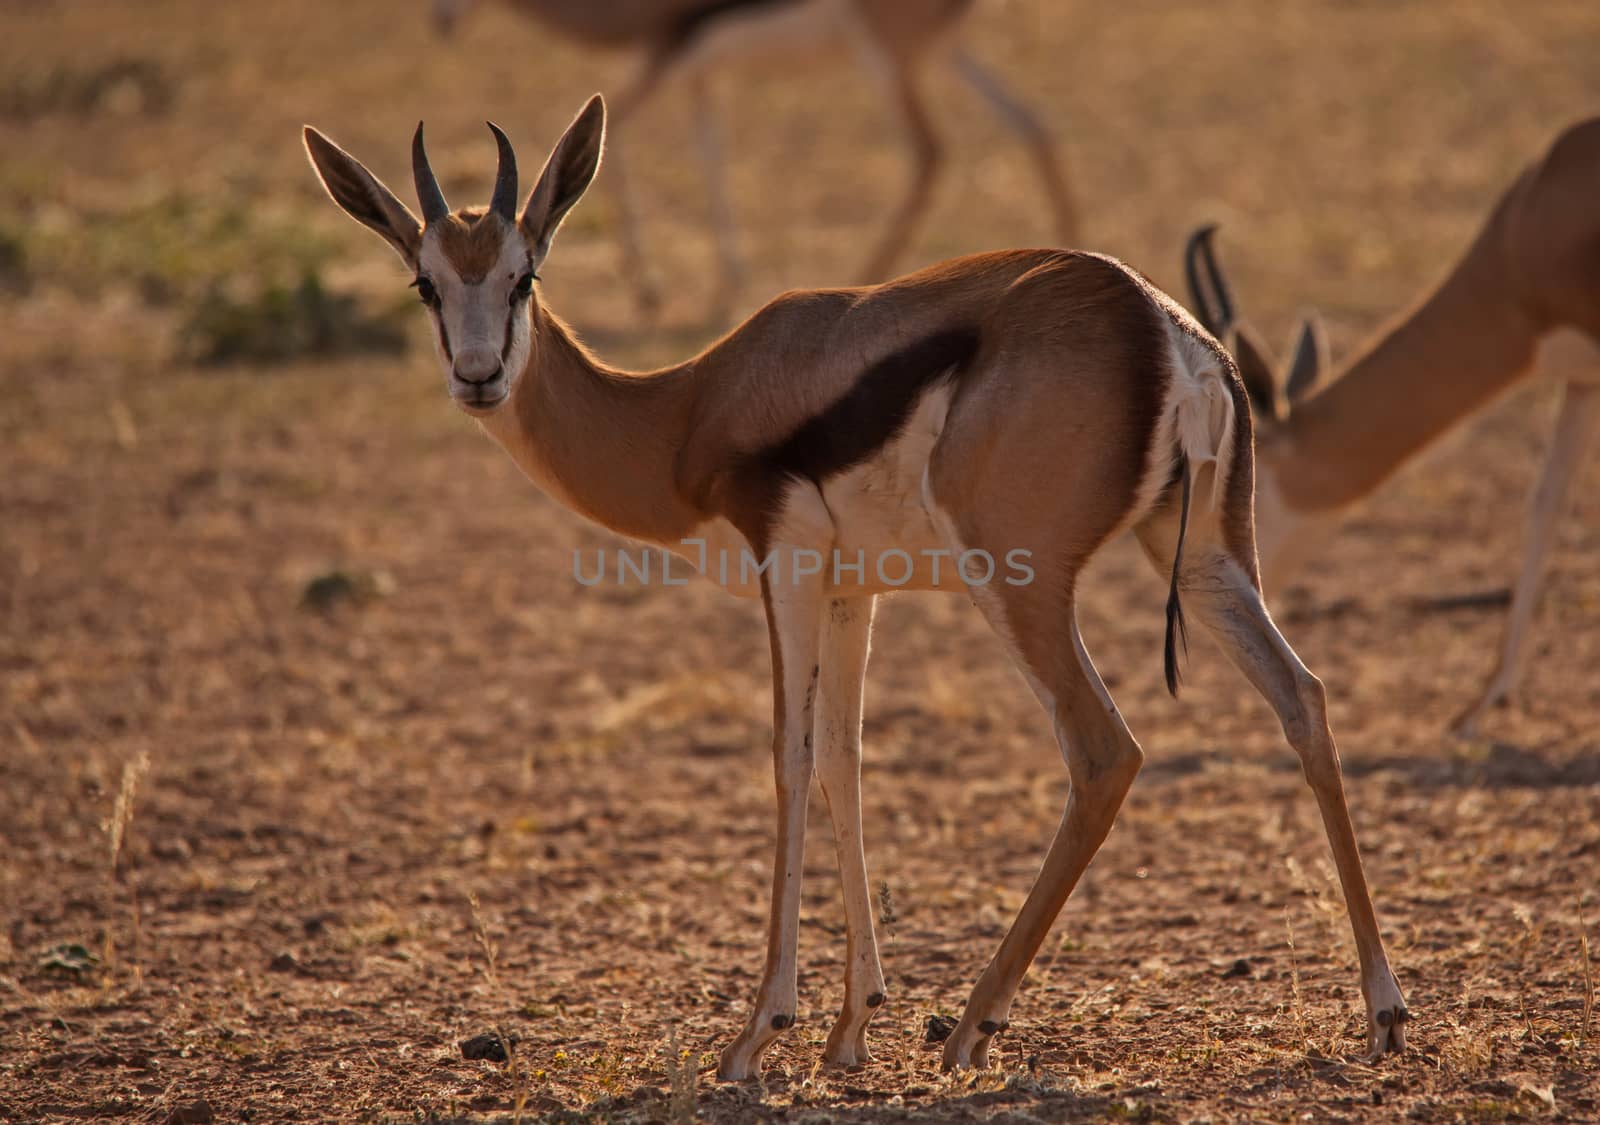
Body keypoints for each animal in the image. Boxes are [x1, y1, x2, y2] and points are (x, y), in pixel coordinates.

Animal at [305, 92, 1408, 1075]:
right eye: (426, 285)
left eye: (524, 274)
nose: (479, 376)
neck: (686, 410)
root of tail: (1163, 331)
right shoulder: (854, 590)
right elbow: (846, 760)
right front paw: (850, 1028)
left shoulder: (785, 565)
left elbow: (789, 760)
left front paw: (758, 1036)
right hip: (1208, 559)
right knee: (1303, 698)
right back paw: (1384, 1011)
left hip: (1020, 585)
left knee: (1104, 750)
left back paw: (973, 1029)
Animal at [428, 1, 1075, 316]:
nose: (442, 19)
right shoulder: (697, 73)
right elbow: (710, 152)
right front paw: (726, 279)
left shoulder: (667, 54)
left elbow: (622, 137)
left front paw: (648, 286)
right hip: (939, 53)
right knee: (1034, 123)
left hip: (888, 58)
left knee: (930, 150)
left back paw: (869, 273)